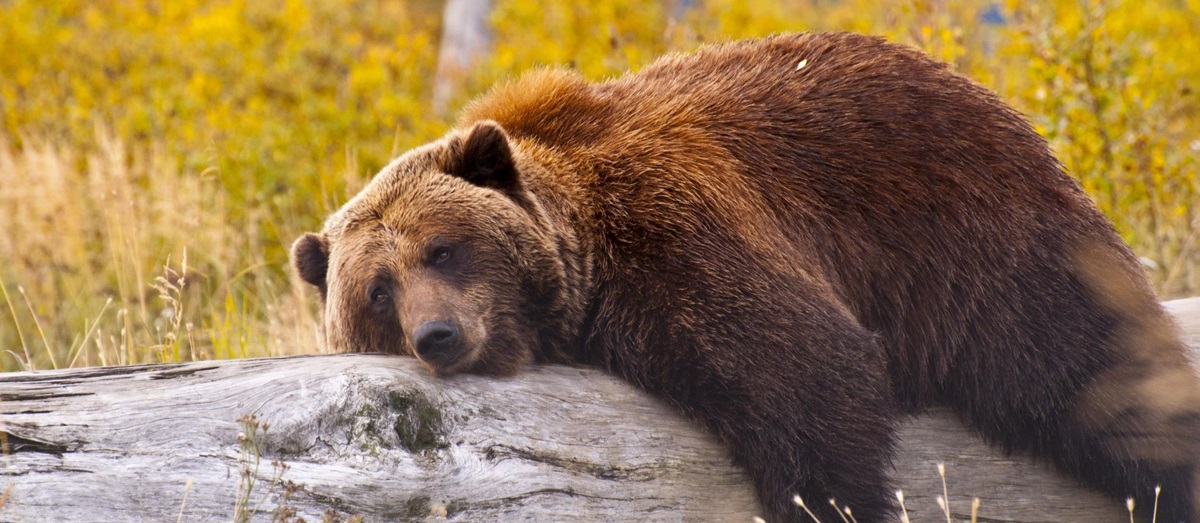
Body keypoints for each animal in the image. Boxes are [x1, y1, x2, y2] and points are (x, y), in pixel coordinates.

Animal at [291, 33, 1200, 522]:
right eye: (377, 289)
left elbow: (805, 370)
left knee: (1095, 374)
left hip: (982, 242)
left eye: (443, 248)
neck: (591, 261)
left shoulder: (678, 229)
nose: (439, 334)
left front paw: (834, 497)